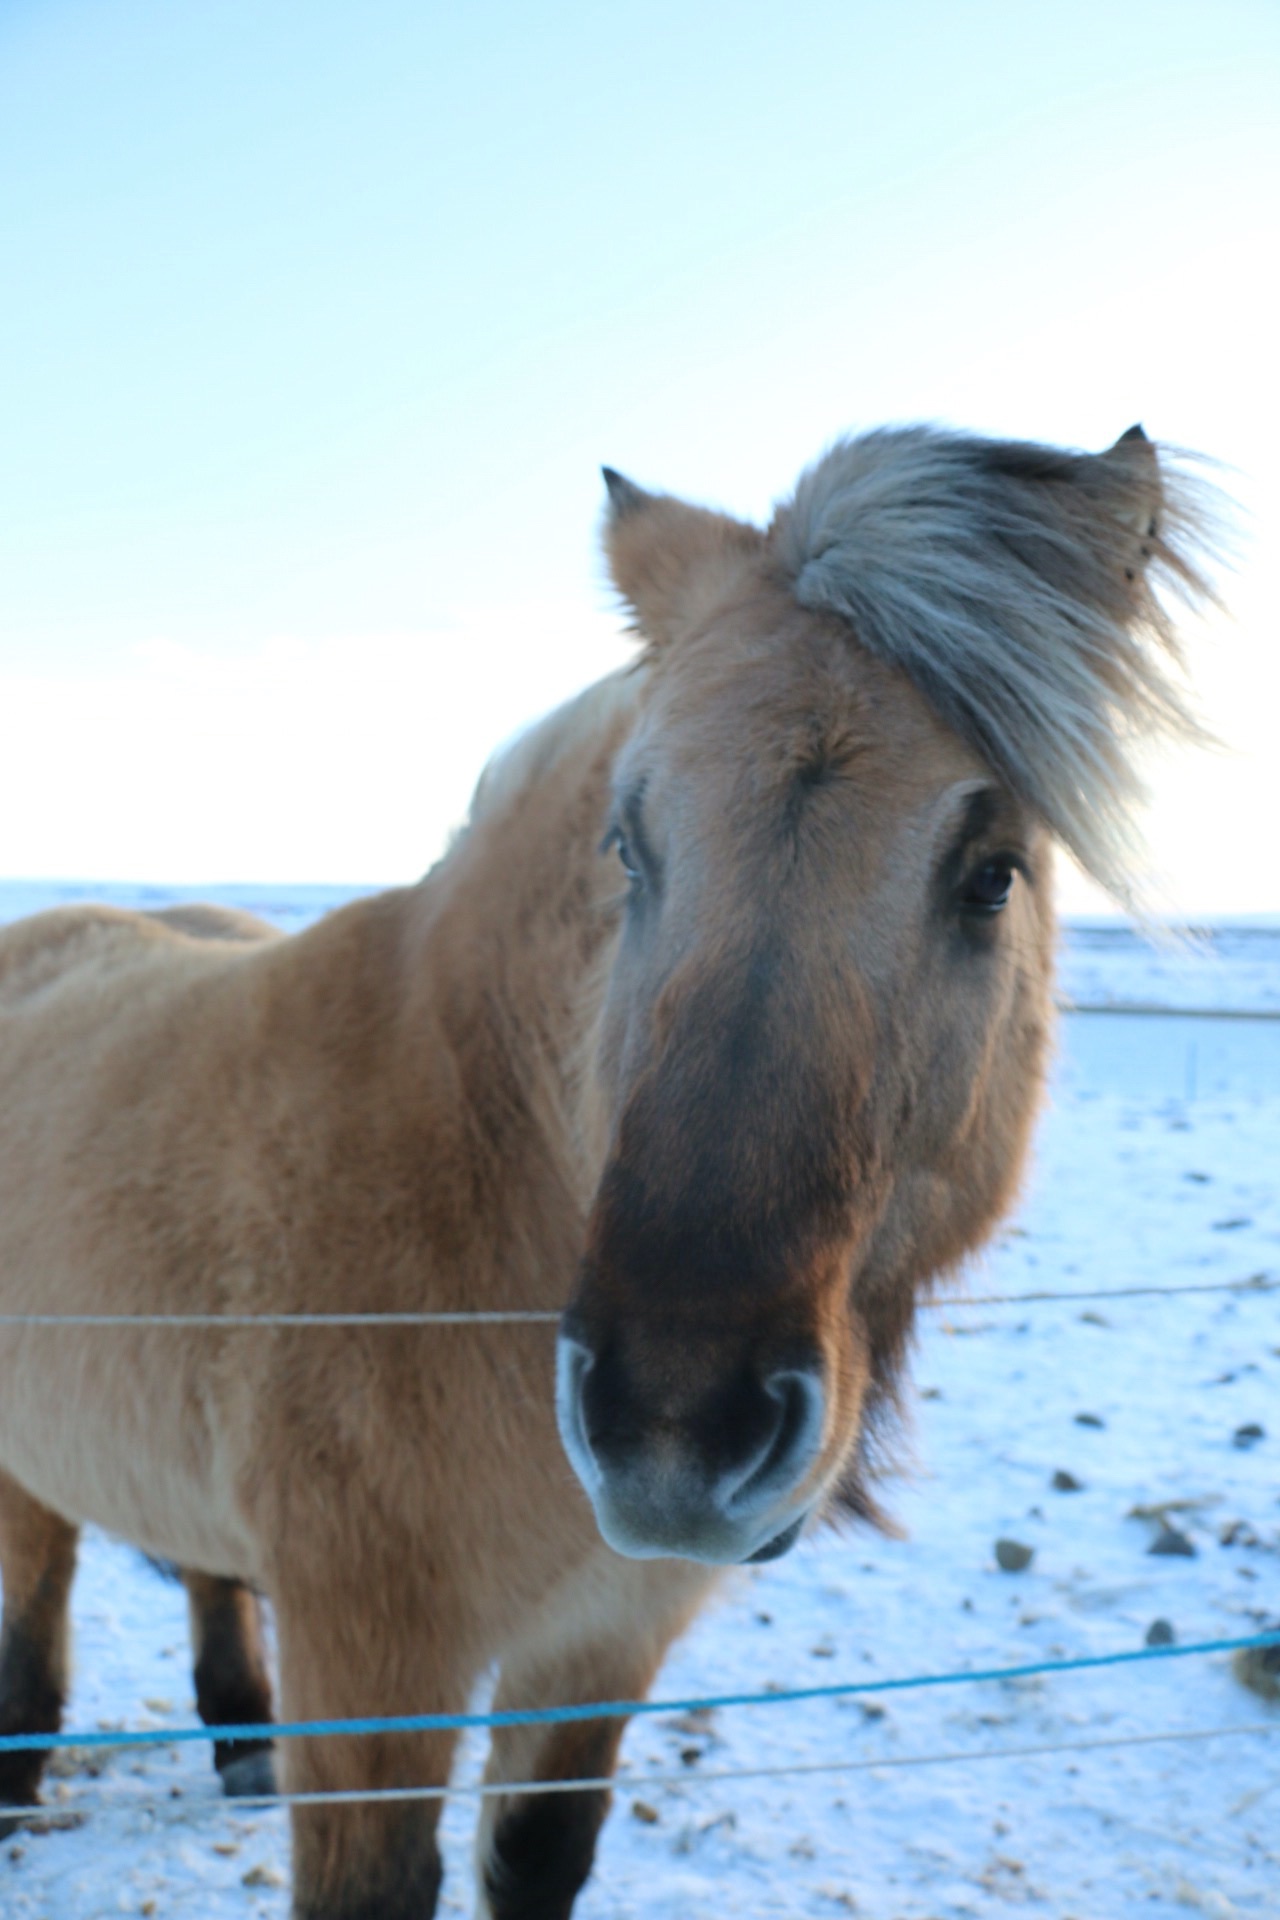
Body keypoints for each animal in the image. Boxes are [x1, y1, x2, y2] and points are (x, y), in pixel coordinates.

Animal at [0, 424, 1212, 1920]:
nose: (673, 1430)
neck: (471, 1190)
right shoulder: (371, 1670)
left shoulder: (598, 1645)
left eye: (991, 874)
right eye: (630, 846)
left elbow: (536, 1856)